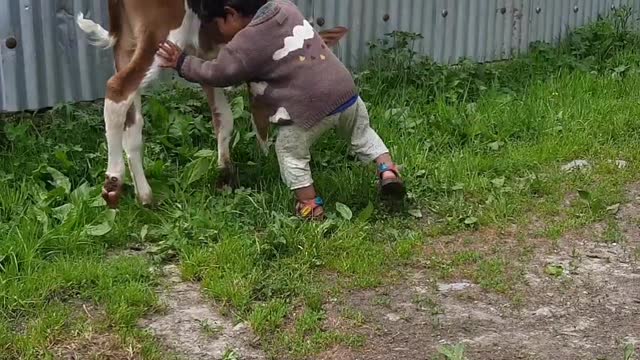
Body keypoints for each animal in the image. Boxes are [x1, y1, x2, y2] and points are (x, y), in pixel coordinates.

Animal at [78, 0, 352, 208]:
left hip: (127, 43)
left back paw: (144, 195)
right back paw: (113, 179)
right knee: (118, 89)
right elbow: (258, 119)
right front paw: (264, 158)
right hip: (160, 31)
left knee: (133, 120)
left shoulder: (207, 58)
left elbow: (224, 117)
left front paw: (225, 171)